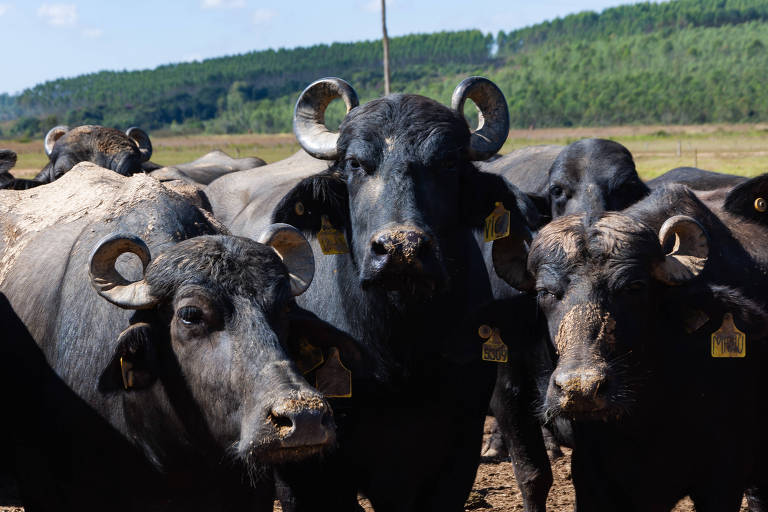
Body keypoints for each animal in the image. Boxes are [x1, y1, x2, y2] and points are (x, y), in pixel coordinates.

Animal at [206, 77, 540, 512]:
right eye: (356, 164)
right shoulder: (310, 467)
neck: (400, 348)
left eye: (448, 164)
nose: (401, 249)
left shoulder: (459, 449)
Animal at [488, 175, 768, 508]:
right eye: (545, 292)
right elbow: (533, 477)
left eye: (634, 286)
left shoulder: (723, 475)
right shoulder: (590, 474)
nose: (580, 389)